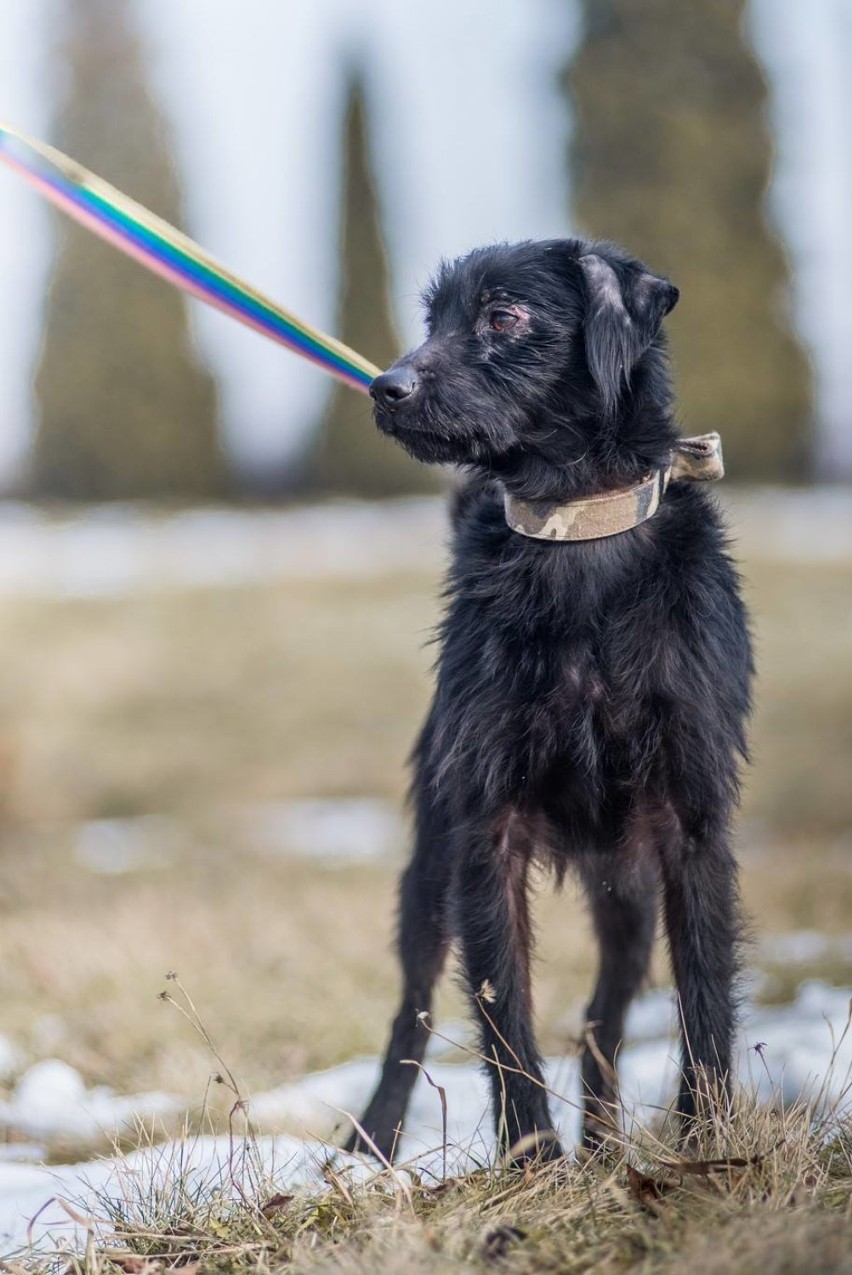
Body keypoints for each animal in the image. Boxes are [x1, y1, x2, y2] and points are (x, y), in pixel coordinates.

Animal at [341, 239, 749, 1167]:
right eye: (433, 320)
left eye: (503, 316)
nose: (384, 385)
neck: (576, 534)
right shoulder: (484, 828)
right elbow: (502, 1007)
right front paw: (533, 1159)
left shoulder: (691, 820)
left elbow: (704, 991)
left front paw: (706, 1141)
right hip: (429, 871)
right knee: (413, 1010)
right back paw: (372, 1146)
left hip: (628, 892)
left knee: (604, 1016)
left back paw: (603, 1142)